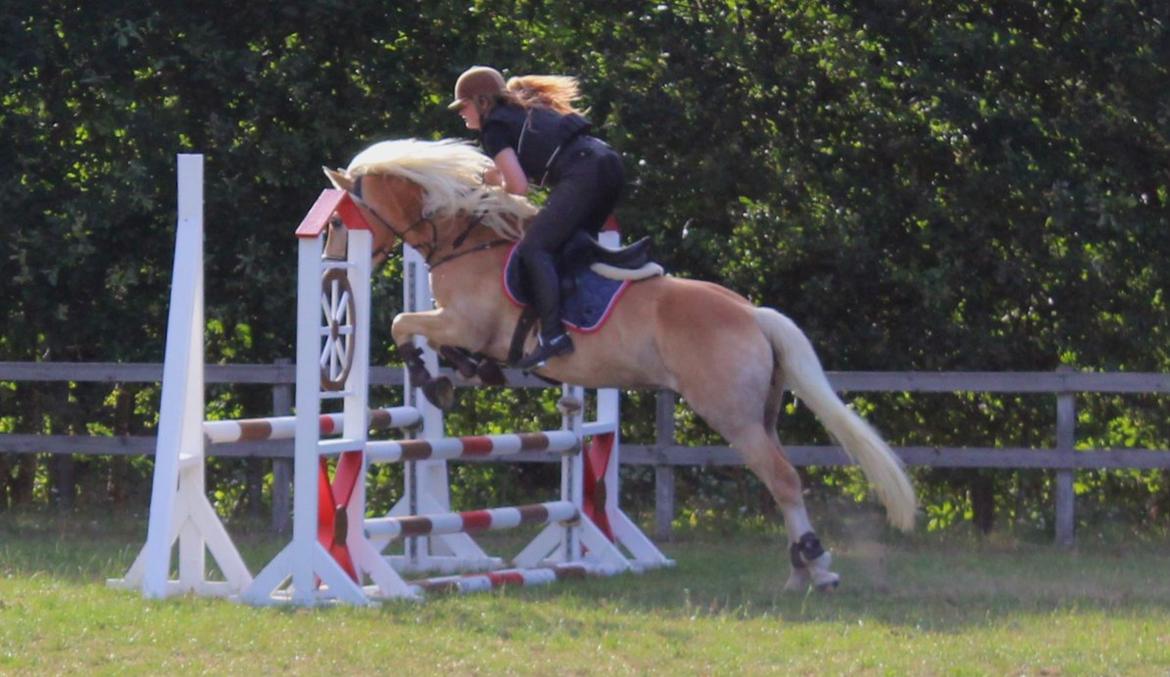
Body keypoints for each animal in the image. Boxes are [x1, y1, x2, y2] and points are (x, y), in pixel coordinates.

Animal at [325, 139, 917, 593]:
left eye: (337, 220)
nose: (335, 257)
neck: (466, 241)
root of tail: (751, 313)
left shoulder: (464, 323)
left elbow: (403, 325)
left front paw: (436, 383)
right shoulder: (463, 328)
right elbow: (434, 341)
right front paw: (467, 374)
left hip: (734, 417)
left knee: (784, 479)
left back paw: (816, 570)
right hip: (761, 414)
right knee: (781, 477)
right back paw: (801, 569)